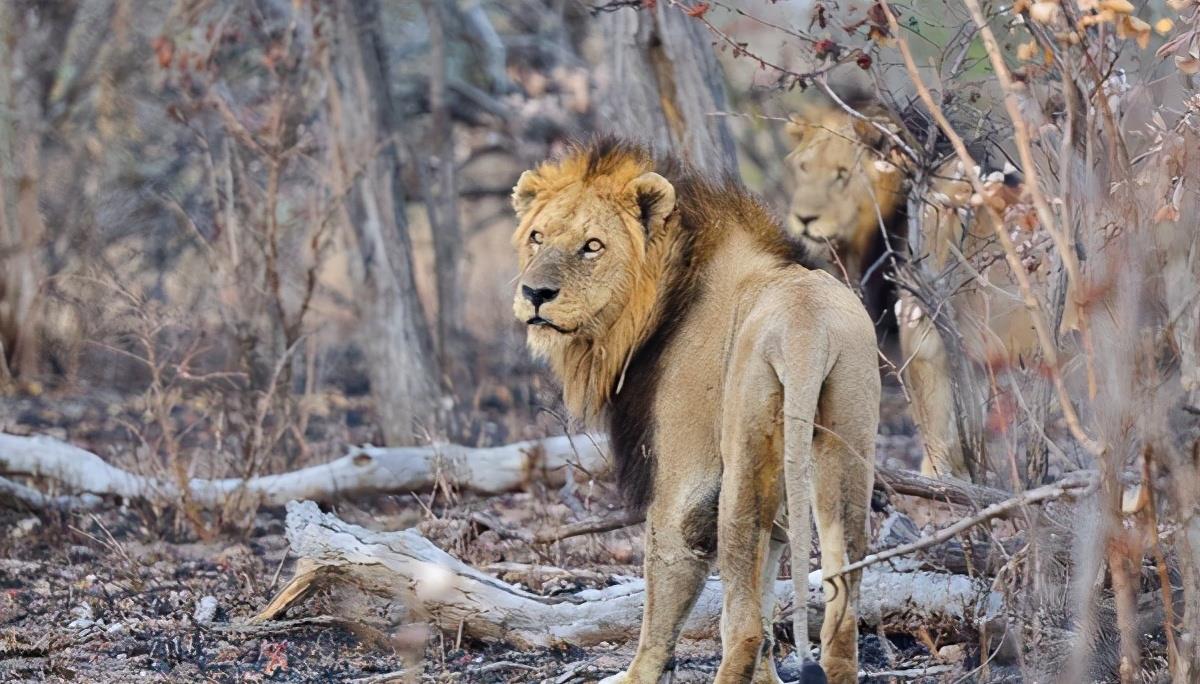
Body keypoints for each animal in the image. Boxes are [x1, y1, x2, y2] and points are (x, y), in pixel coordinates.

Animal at [511, 135, 878, 676]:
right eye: (537, 237)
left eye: (592, 246)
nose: (535, 293)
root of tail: (805, 327)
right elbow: (770, 596)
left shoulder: (685, 478)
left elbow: (664, 591)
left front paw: (635, 675)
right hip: (846, 441)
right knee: (839, 619)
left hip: (744, 453)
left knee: (742, 628)